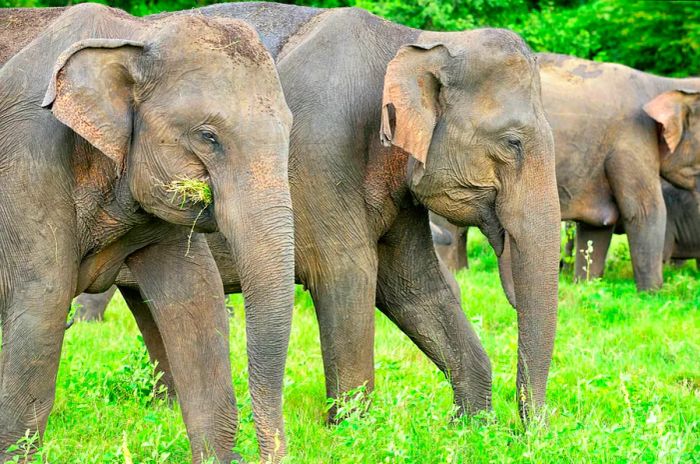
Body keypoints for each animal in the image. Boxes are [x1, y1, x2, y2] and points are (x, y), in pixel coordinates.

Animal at [0, 2, 296, 460]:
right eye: (207, 136)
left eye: (290, 128)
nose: (272, 455)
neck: (137, 36)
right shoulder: (26, 156)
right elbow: (41, 304)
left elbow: (196, 298)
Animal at [74, 1, 560, 426]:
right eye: (513, 143)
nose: (528, 432)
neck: (410, 40)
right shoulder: (320, 155)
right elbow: (348, 276)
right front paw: (353, 432)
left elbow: (414, 288)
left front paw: (470, 428)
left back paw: (166, 416)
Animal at [432, 54, 700, 292]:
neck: (664, 84)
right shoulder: (632, 138)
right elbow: (645, 210)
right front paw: (651, 293)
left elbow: (598, 226)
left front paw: (586, 286)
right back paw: (456, 272)